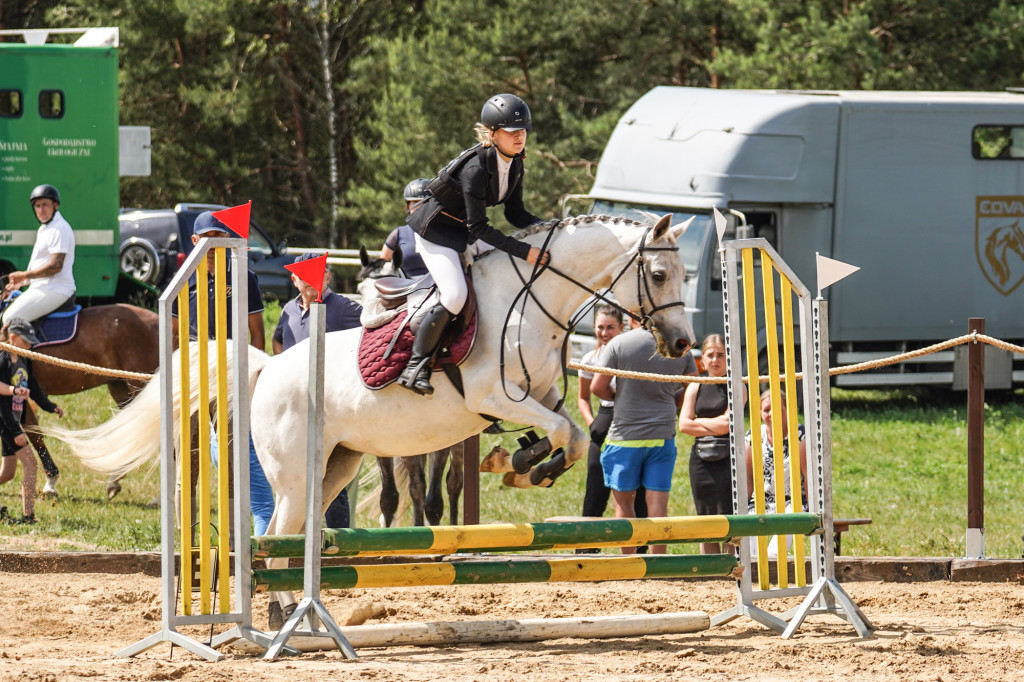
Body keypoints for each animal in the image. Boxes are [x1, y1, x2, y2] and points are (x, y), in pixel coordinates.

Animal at [48, 212, 696, 614]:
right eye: (659, 273)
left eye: (686, 275)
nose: (682, 344)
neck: (530, 302)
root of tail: (267, 367)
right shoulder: (490, 396)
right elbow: (563, 431)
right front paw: (529, 465)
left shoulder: (541, 395)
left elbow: (577, 435)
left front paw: (527, 463)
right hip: (295, 472)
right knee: (275, 537)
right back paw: (287, 616)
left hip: (335, 465)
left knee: (294, 535)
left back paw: (297, 612)